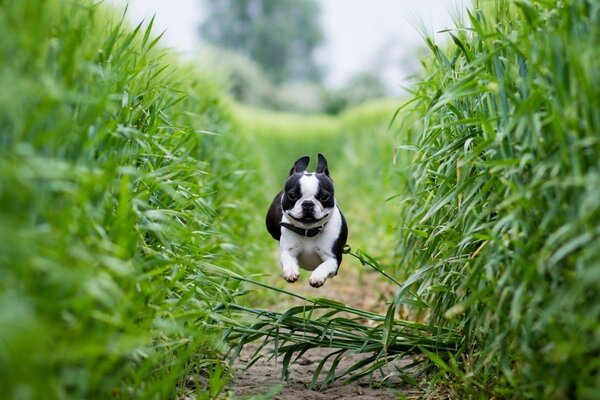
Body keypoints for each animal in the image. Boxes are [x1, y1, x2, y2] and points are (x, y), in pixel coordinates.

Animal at [266, 154, 350, 288]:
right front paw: (290, 271)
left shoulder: (333, 259)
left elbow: (325, 265)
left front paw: (317, 276)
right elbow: (287, 258)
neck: (308, 232)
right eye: (292, 195)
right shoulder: (288, 250)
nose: (308, 203)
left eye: (324, 197)